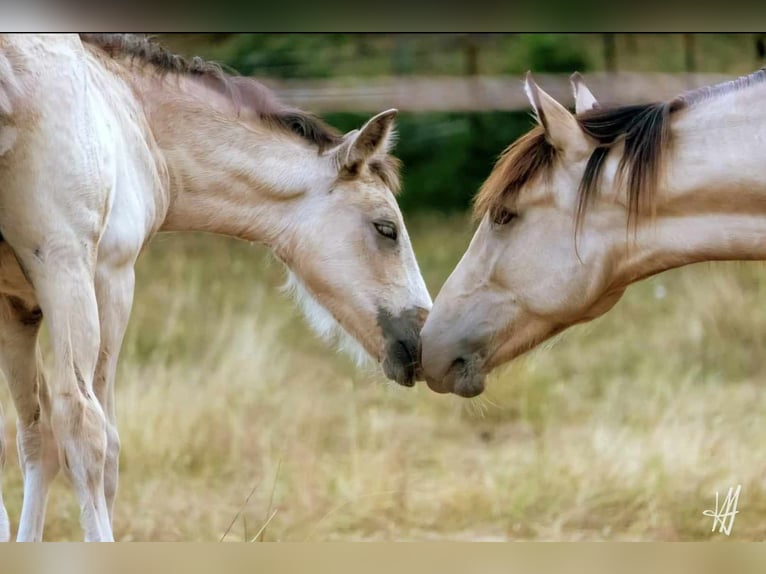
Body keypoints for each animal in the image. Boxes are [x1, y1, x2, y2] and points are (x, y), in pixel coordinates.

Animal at [0, 33, 432, 544]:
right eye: (387, 229)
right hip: (65, 269)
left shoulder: (15, 308)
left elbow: (35, 438)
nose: (420, 338)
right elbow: (100, 446)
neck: (134, 111)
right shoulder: (110, 277)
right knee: (82, 426)